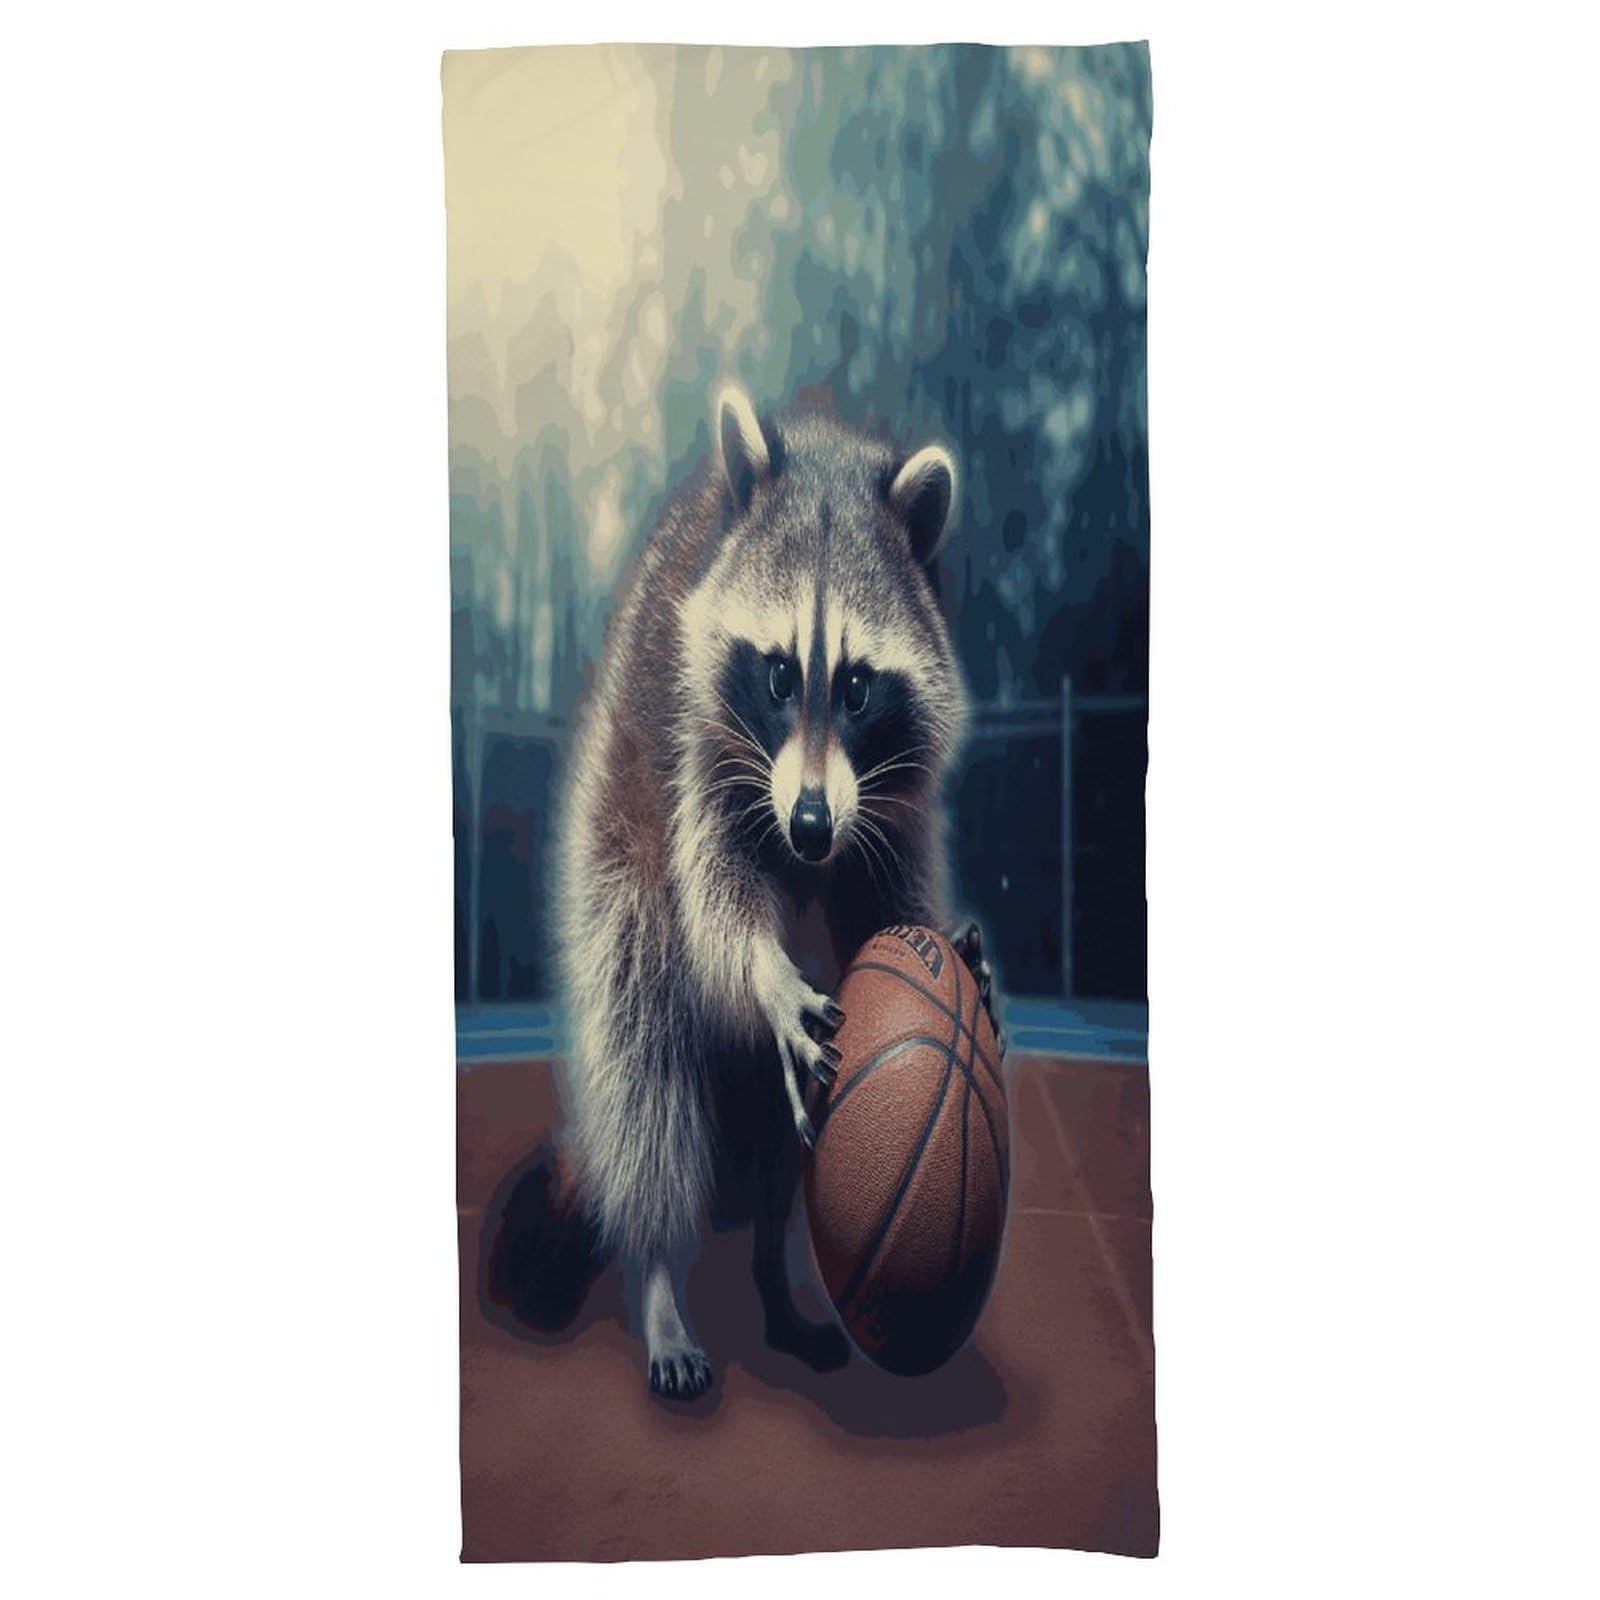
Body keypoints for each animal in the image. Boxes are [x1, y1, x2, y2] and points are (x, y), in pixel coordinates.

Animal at [486, 385, 1003, 1400]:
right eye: (777, 674)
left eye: (857, 688)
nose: (808, 827)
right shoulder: (701, 747)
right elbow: (715, 900)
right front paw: (762, 969)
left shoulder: (892, 794)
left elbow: (884, 898)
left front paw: (936, 936)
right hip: (614, 859)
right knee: (644, 1057)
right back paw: (658, 1279)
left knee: (774, 1140)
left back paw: (772, 1275)